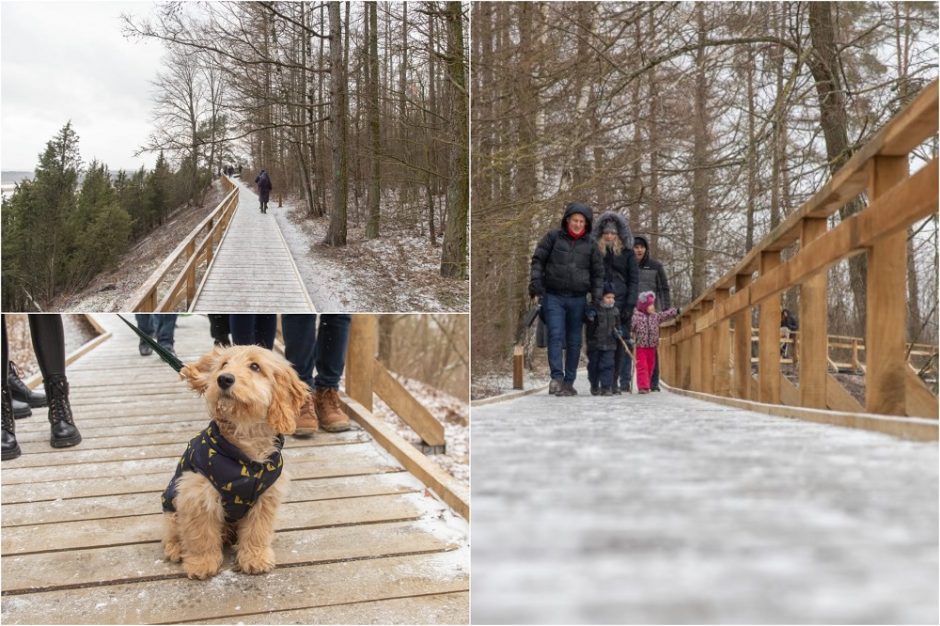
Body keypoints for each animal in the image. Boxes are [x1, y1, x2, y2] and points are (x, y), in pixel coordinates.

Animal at [162, 344, 308, 576]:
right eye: (223, 364)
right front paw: (202, 564)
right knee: (173, 532)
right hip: (172, 507)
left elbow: (257, 531)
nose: (224, 379)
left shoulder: (265, 496)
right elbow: (200, 535)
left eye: (255, 366)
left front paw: (256, 558)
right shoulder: (196, 493)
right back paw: (176, 548)